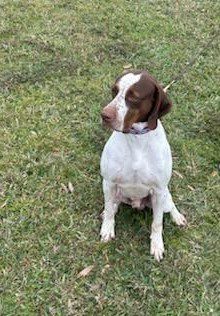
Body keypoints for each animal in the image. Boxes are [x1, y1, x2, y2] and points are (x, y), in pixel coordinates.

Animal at [100, 70, 187, 260]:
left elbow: (157, 223)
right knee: (112, 205)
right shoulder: (109, 183)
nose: (104, 115)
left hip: (164, 197)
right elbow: (109, 211)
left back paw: (177, 217)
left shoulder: (159, 190)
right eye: (114, 91)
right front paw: (107, 229)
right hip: (117, 192)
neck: (136, 139)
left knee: (170, 205)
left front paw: (157, 245)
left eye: (134, 97)